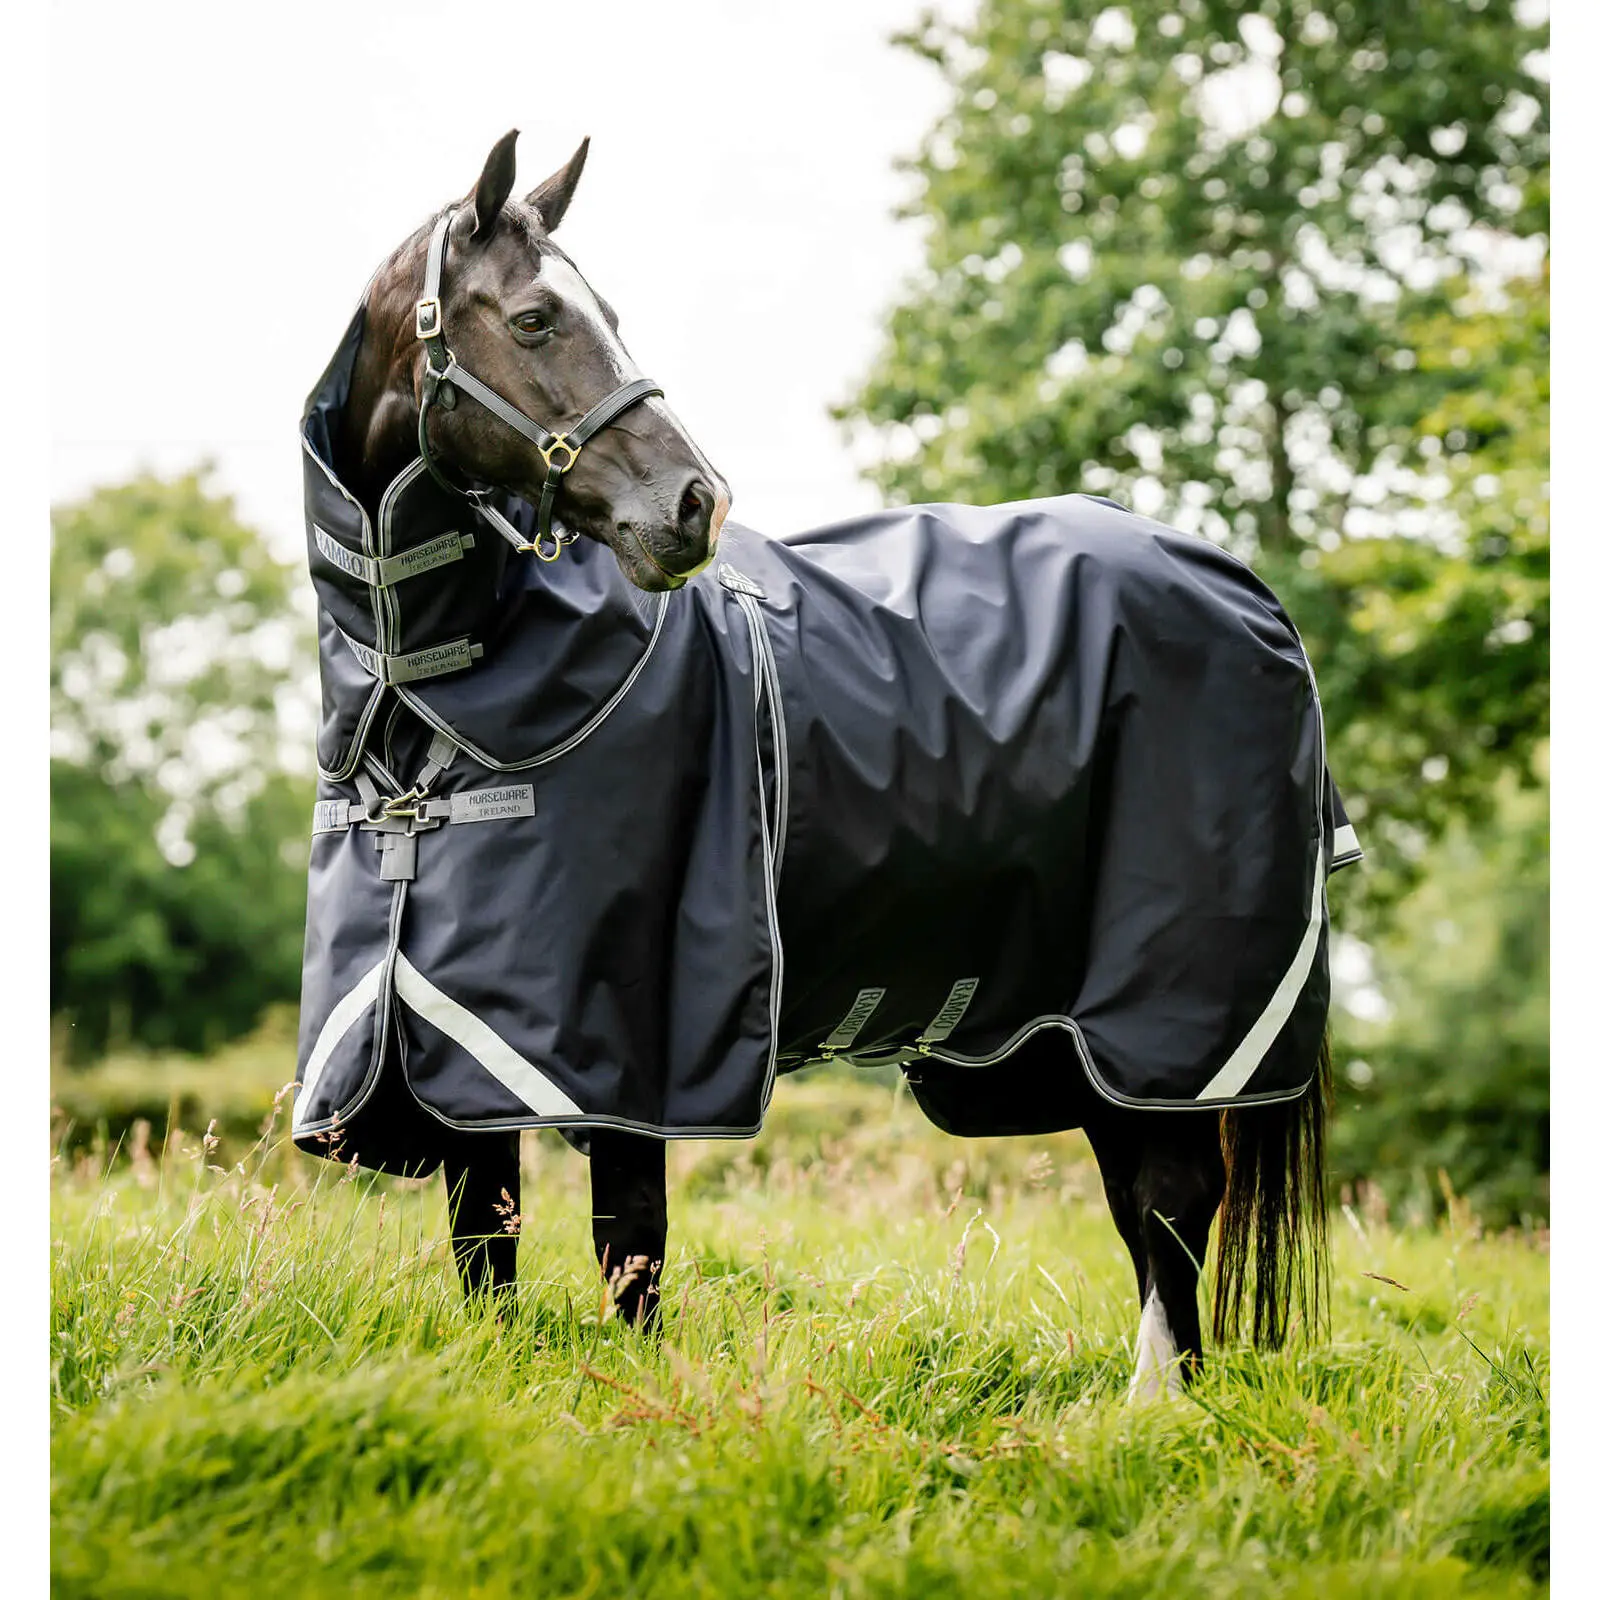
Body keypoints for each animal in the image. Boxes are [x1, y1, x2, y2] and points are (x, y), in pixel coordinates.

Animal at [294, 129, 1354, 1398]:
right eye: (539, 317)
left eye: (605, 311)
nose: (694, 503)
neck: (430, 691)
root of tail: (1238, 584)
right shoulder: (458, 1047)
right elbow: (485, 1243)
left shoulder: (633, 1050)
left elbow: (629, 1254)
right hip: (1090, 1044)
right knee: (1148, 1206)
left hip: (1170, 1011)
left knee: (1171, 1202)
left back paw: (1154, 1411)